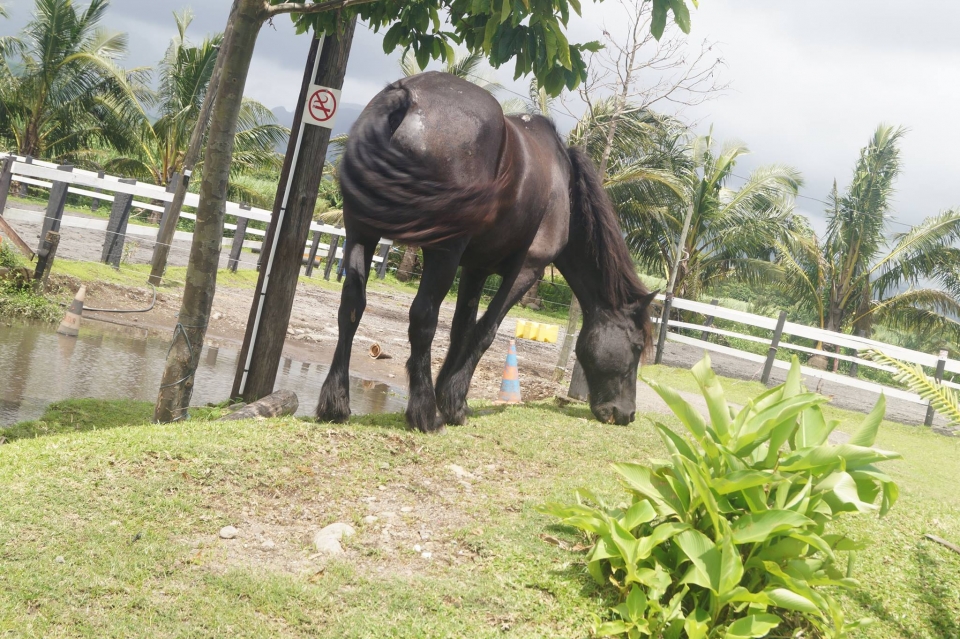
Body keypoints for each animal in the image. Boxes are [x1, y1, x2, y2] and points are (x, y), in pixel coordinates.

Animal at [316, 71, 656, 432]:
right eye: (636, 348)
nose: (627, 414)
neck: (564, 187)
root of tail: (408, 96)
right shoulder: (526, 270)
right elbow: (485, 331)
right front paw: (452, 403)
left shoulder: (475, 268)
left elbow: (461, 328)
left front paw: (450, 395)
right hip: (442, 252)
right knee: (423, 317)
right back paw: (424, 412)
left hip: (361, 233)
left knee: (352, 305)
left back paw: (336, 403)